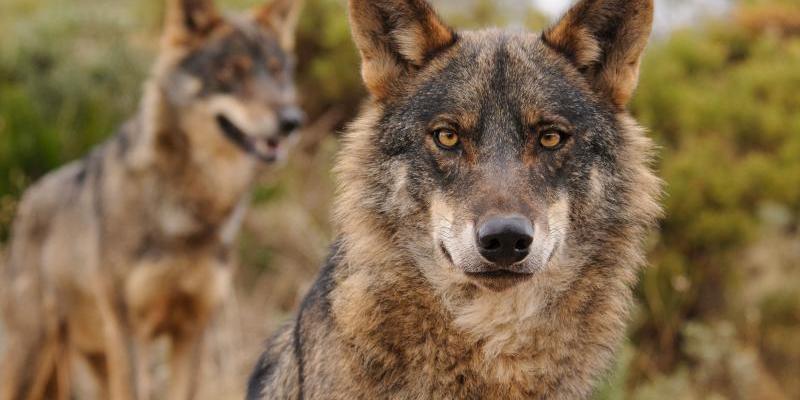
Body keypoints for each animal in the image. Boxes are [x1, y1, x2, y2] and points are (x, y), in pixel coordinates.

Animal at [0, 0, 304, 400]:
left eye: (276, 70)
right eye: (230, 71)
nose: (292, 121)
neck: (191, 213)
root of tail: (28, 197)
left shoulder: (193, 330)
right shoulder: (131, 331)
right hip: (36, 359)